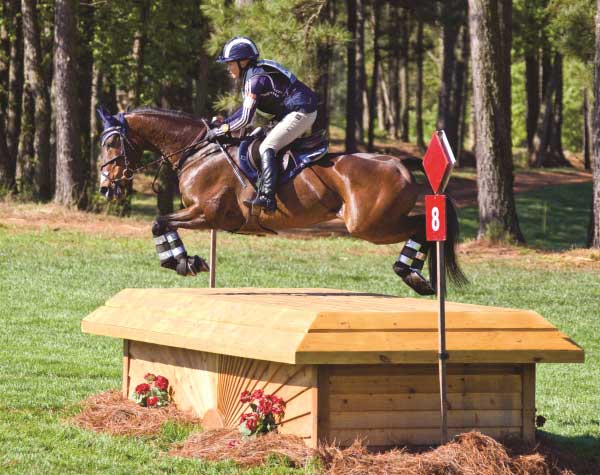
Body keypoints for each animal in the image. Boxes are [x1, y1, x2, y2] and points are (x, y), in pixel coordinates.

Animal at [97, 107, 468, 298]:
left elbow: (159, 221)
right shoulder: (204, 215)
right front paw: (185, 261)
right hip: (375, 222)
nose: (105, 188)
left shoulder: (207, 213)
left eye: (112, 143)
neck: (196, 150)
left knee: (423, 225)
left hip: (370, 225)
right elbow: (160, 223)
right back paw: (423, 279)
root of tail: (401, 164)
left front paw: (183, 262)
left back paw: (412, 275)